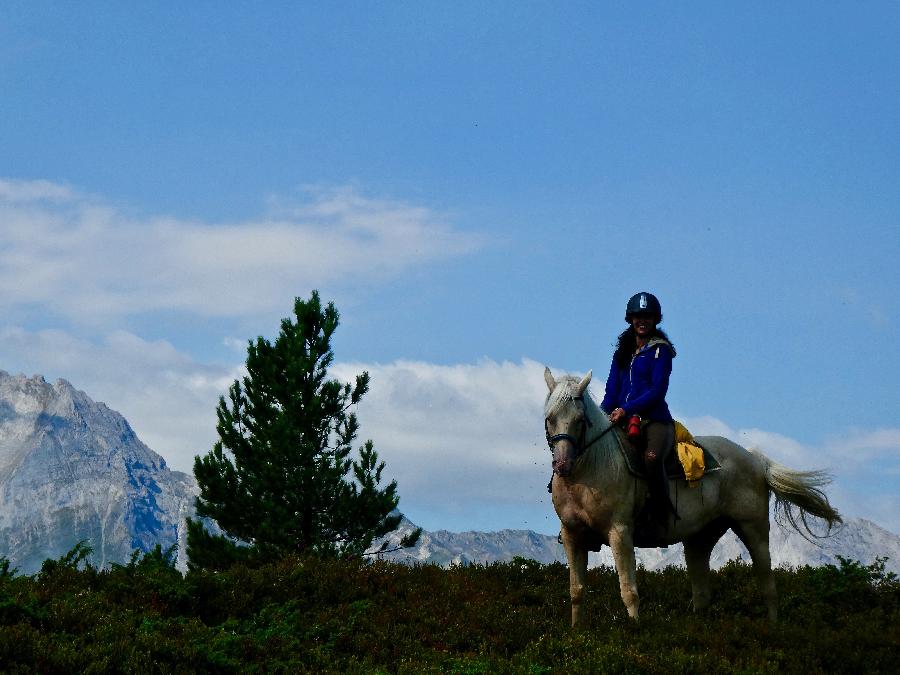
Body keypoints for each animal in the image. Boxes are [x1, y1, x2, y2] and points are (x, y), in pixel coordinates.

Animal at [540, 370, 844, 628]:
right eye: (549, 418)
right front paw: (577, 631)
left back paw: (772, 628)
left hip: (754, 529)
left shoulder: (620, 533)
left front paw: (635, 630)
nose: (563, 465)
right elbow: (576, 590)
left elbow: (629, 590)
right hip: (699, 539)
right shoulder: (572, 536)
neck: (592, 470)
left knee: (767, 583)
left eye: (580, 420)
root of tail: (754, 459)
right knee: (702, 593)